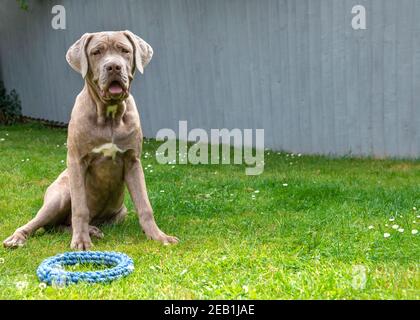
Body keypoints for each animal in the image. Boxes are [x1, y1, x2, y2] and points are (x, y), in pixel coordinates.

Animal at [2, 30, 179, 250]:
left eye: (124, 50)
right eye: (96, 52)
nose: (113, 66)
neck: (109, 114)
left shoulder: (133, 161)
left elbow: (144, 205)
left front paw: (159, 236)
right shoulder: (77, 161)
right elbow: (80, 209)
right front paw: (81, 241)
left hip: (120, 212)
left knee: (59, 226)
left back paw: (93, 230)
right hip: (59, 196)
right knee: (41, 223)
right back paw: (18, 238)